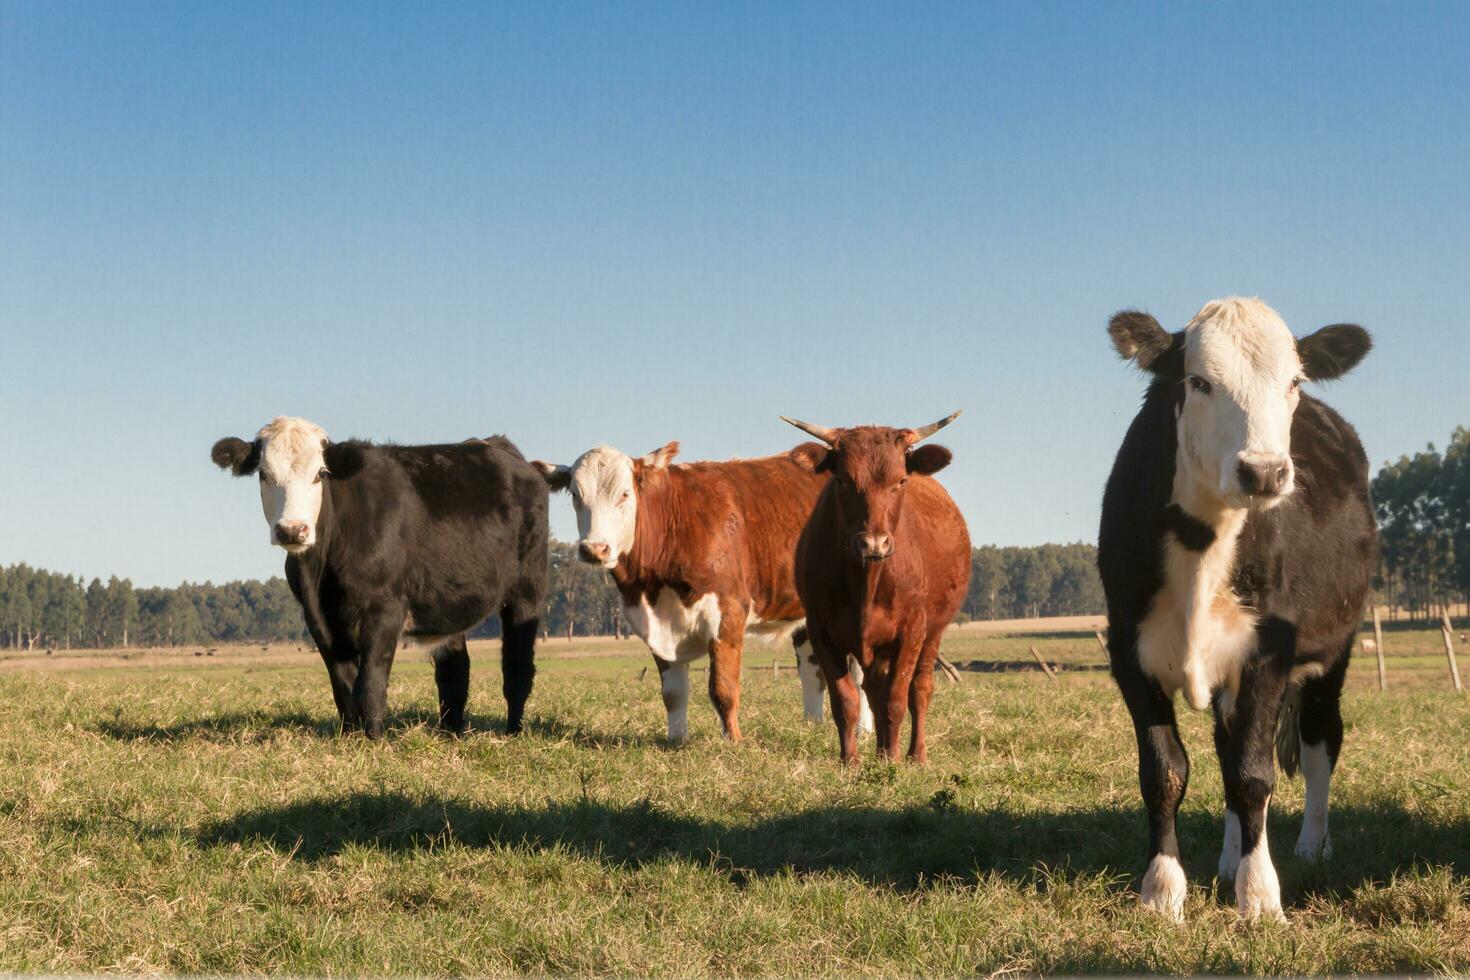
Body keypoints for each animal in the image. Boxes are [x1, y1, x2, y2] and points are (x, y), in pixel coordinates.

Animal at [211, 417, 546, 740]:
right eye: (264, 474)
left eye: (320, 473)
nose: (292, 530)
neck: (320, 574)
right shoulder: (317, 618)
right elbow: (344, 686)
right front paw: (350, 738)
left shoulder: (385, 607)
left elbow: (370, 683)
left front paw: (373, 741)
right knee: (454, 672)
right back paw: (450, 734)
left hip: (527, 587)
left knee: (517, 667)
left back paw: (513, 733)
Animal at [538, 443, 870, 743]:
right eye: (575, 495)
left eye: (624, 494)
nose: (594, 549)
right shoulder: (655, 624)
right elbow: (673, 692)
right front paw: (676, 740)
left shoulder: (728, 612)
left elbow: (723, 689)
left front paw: (733, 742)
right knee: (811, 667)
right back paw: (812, 723)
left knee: (859, 672)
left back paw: (863, 730)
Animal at [787, 414, 970, 764]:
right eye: (843, 480)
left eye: (900, 481)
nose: (874, 543)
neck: (866, 583)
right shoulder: (821, 631)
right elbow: (846, 701)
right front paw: (850, 761)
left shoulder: (912, 630)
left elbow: (896, 699)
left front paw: (895, 762)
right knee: (873, 691)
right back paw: (883, 750)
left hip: (933, 632)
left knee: (919, 690)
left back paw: (914, 754)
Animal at [1105, 296, 1375, 922]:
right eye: (1199, 381)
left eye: (1294, 381)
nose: (1265, 471)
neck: (1204, 541)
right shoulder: (1128, 650)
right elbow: (1165, 771)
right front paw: (1162, 891)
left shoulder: (1269, 651)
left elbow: (1254, 774)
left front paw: (1260, 898)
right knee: (1228, 744)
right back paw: (1230, 859)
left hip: (1337, 648)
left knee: (1319, 741)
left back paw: (1311, 845)